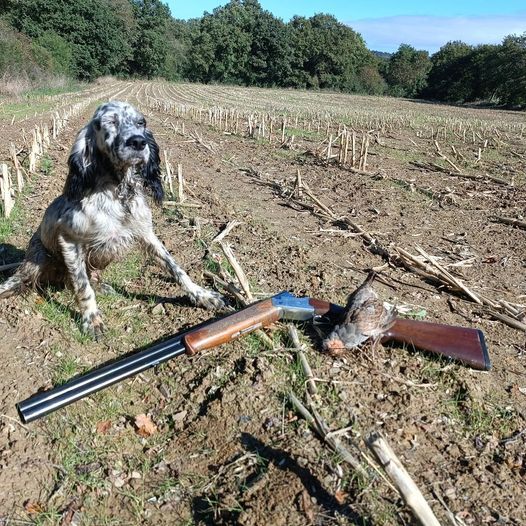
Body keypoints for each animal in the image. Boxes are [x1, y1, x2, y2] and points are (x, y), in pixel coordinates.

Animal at [0, 101, 225, 340]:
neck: (119, 193)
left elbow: (176, 268)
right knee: (28, 278)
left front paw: (202, 295)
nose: (138, 141)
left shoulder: (147, 233)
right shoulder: (69, 240)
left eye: (141, 122)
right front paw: (92, 320)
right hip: (38, 259)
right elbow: (83, 287)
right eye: (110, 122)